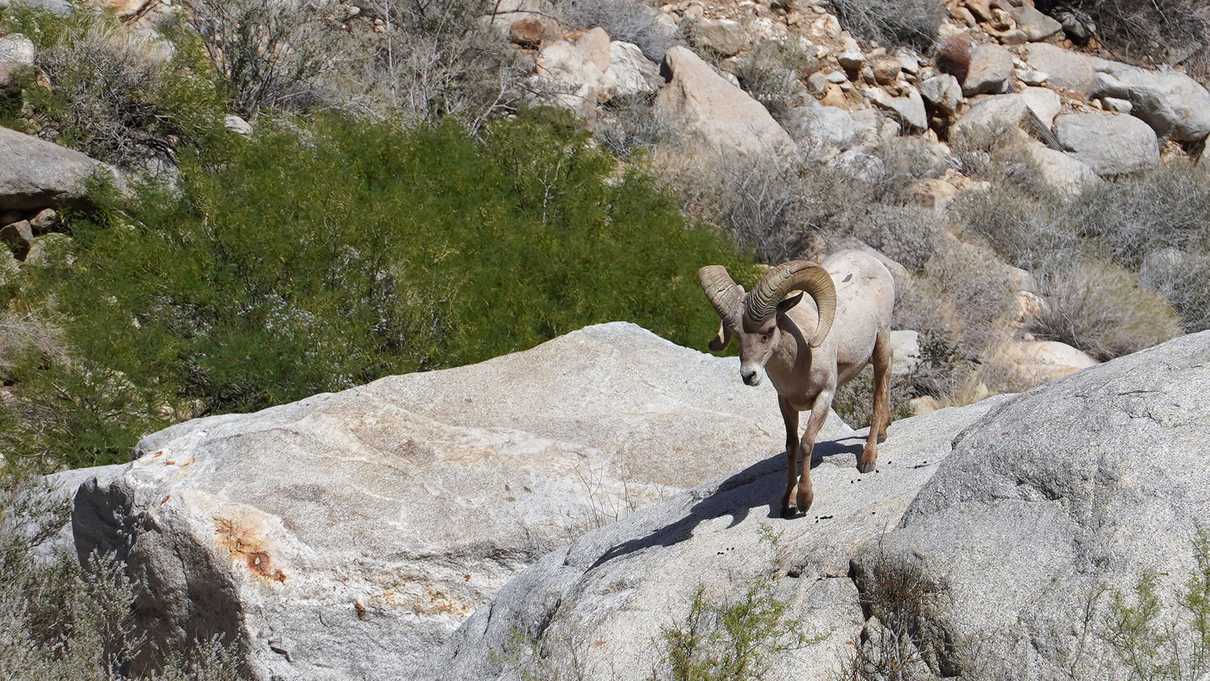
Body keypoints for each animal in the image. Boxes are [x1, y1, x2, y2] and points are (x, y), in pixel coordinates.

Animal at [701, 250, 900, 517]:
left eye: (769, 331)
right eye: (737, 336)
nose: (748, 375)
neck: (798, 363)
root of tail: (872, 261)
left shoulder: (824, 397)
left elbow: (806, 443)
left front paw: (804, 501)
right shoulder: (786, 403)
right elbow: (791, 446)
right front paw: (787, 502)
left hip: (881, 344)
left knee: (880, 390)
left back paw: (868, 458)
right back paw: (883, 432)